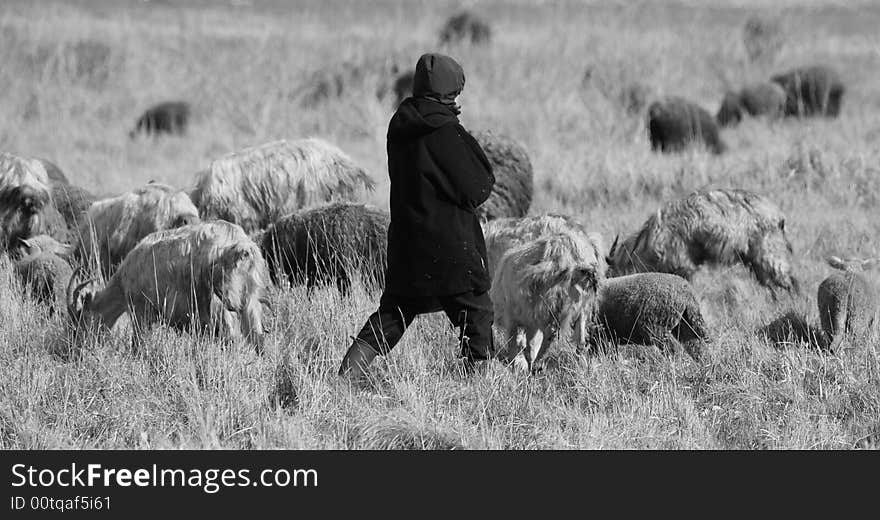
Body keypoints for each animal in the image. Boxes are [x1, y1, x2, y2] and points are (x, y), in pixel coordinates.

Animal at [67, 221, 266, 352]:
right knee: (257, 336)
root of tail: (241, 244)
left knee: (232, 337)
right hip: (249, 295)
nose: (77, 350)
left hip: (221, 299)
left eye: (81, 319)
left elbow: (138, 344)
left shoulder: (141, 311)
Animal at [492, 230, 608, 372]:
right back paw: (581, 366)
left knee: (550, 334)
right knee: (580, 339)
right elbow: (529, 344)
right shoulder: (530, 319)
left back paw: (538, 363)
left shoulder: (515, 318)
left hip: (551, 302)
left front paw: (516, 366)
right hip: (584, 305)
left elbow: (517, 344)